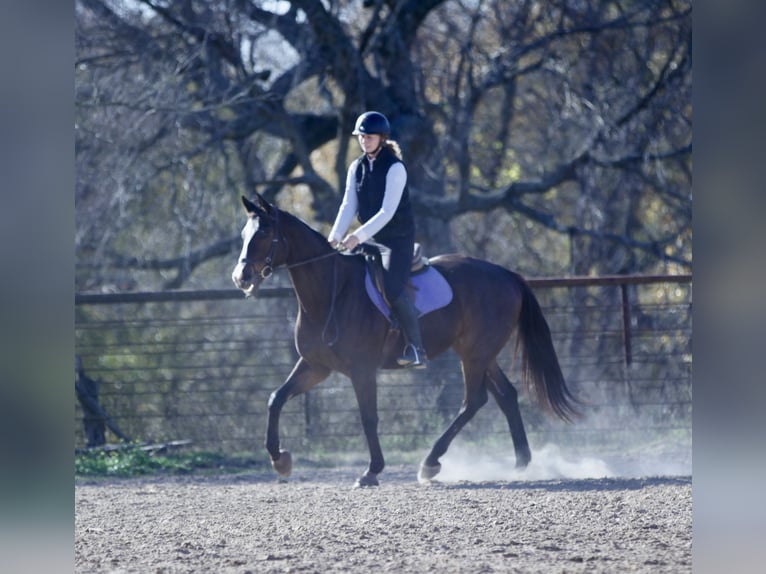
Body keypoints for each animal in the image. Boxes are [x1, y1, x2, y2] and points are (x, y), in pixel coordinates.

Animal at [231, 193, 580, 487]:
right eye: (244, 235)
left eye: (264, 234)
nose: (241, 277)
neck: (333, 291)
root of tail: (507, 274)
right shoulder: (315, 366)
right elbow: (276, 398)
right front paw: (280, 460)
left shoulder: (361, 370)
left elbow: (369, 418)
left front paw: (372, 471)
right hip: (480, 354)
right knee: (505, 395)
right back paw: (520, 462)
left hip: (475, 355)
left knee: (474, 401)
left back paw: (430, 462)